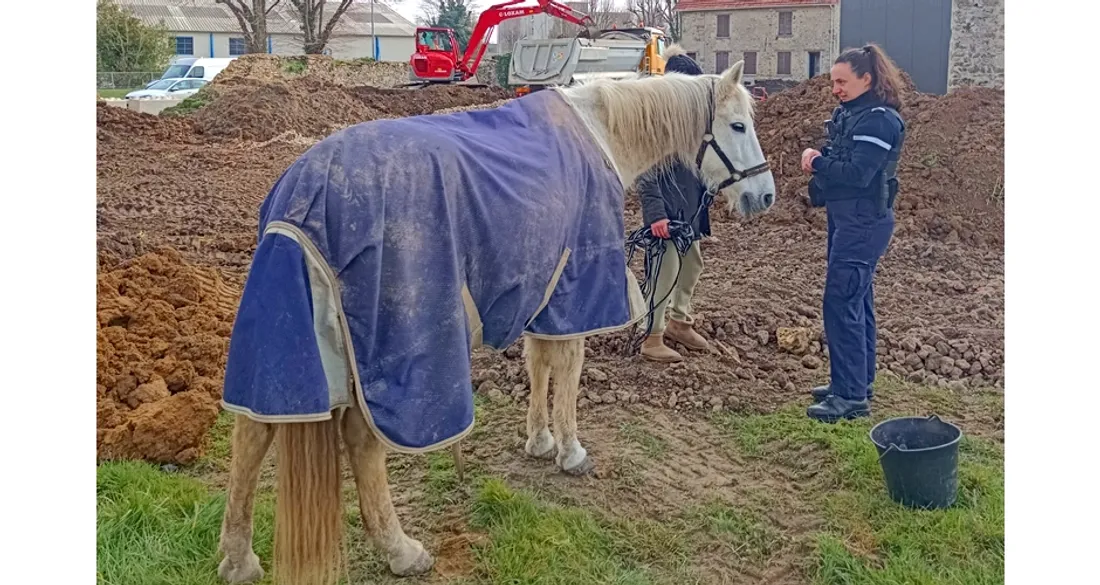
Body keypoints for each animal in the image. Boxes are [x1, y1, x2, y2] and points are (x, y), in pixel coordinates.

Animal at [216, 55, 776, 585]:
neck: (600, 131)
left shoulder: (541, 291)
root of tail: (301, 197)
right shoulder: (574, 292)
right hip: (389, 350)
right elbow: (568, 371)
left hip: (292, 338)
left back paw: (239, 560)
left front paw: (539, 441)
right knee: (362, 440)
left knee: (253, 434)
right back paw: (401, 551)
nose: (764, 196)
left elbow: (539, 365)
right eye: (738, 125)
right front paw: (570, 450)